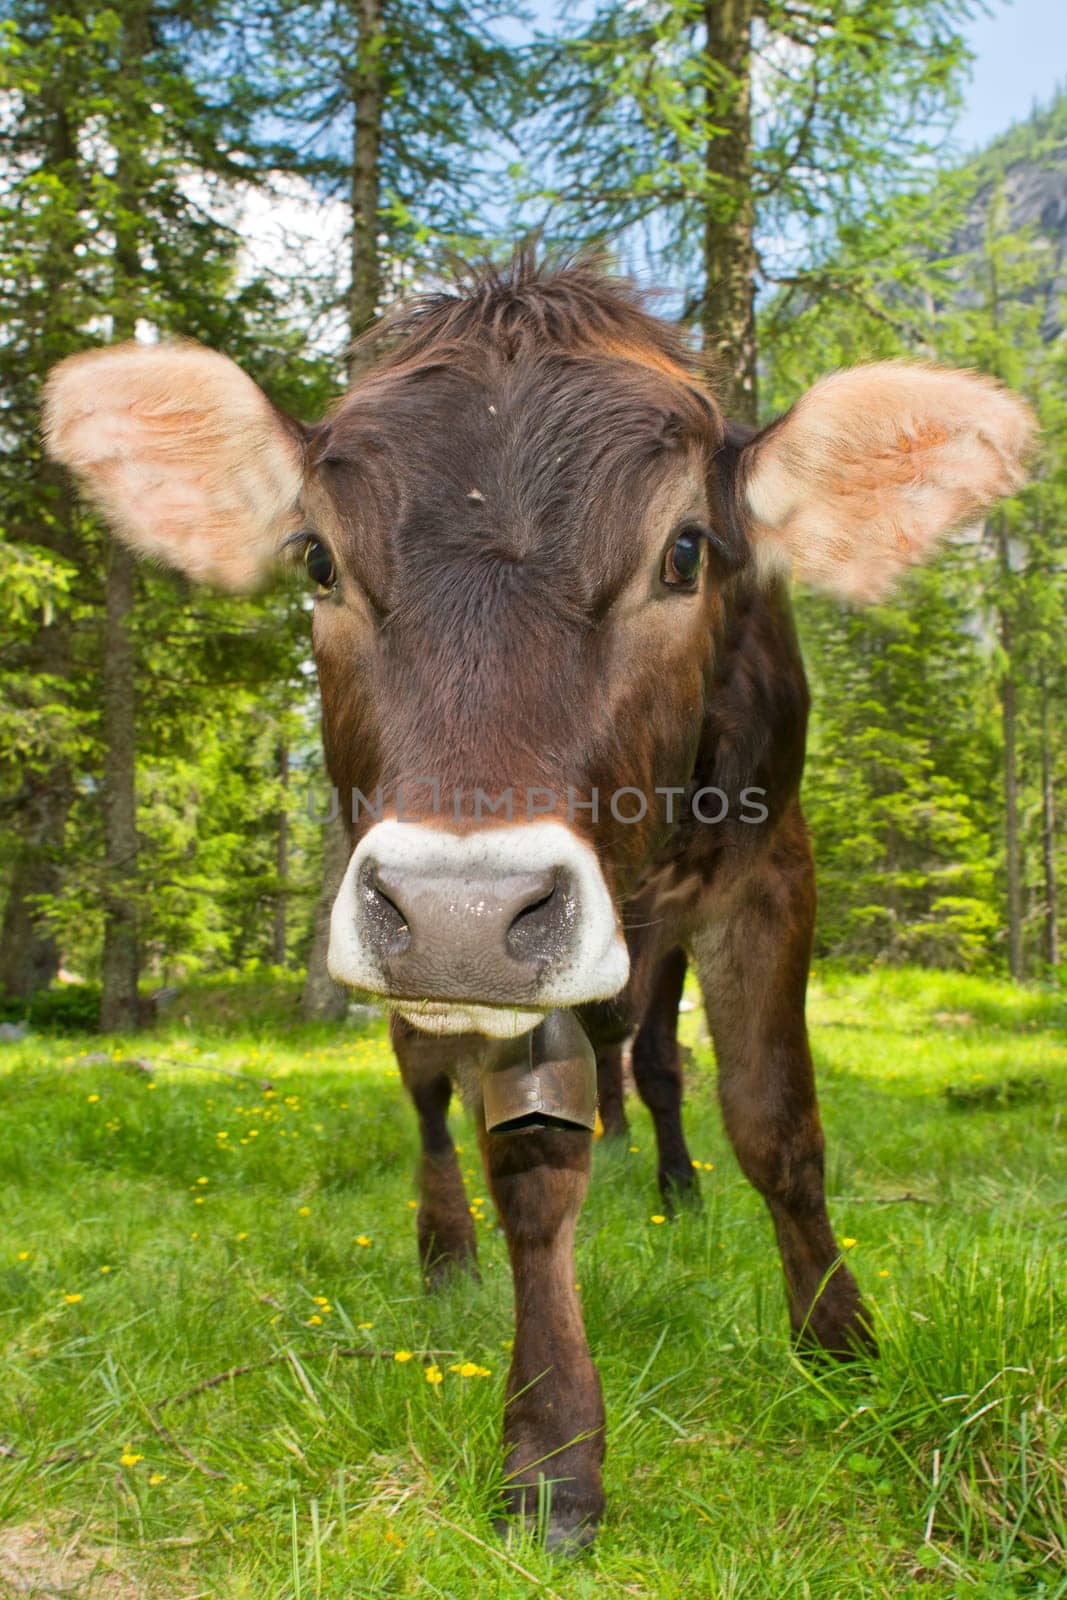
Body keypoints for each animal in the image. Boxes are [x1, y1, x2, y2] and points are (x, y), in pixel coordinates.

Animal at [43, 259, 1036, 1548]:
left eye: (686, 551)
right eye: (317, 561)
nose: (460, 909)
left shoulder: (770, 861)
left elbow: (774, 1122)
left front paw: (838, 1340)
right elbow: (527, 1161)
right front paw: (554, 1446)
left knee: (647, 1058)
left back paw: (666, 1182)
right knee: (430, 1091)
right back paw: (444, 1245)